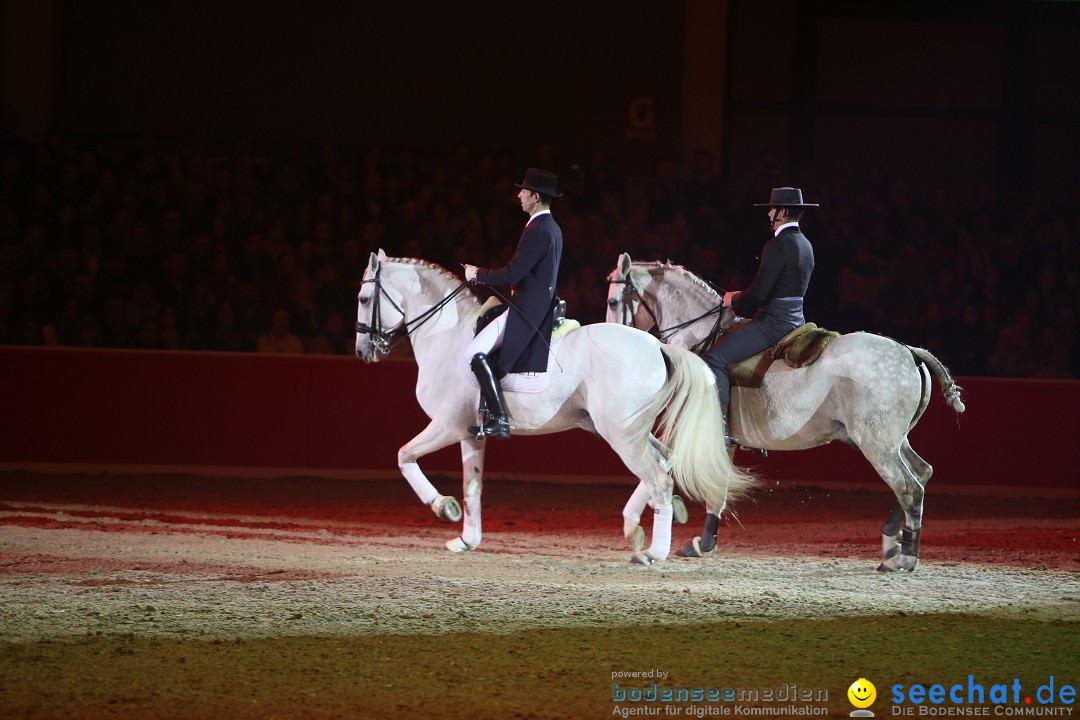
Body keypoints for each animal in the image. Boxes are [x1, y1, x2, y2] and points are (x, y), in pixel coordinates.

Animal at [354, 252, 751, 561]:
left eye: (363, 298)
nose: (362, 351)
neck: (447, 334)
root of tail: (657, 346)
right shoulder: (470, 432)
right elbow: (473, 486)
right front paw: (467, 538)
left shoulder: (447, 425)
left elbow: (404, 456)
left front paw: (441, 506)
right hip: (627, 431)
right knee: (664, 460)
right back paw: (639, 527)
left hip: (621, 434)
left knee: (659, 478)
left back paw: (653, 552)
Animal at [604, 250, 967, 569]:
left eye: (612, 302)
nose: (614, 346)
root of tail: (909, 350)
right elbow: (711, 488)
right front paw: (701, 542)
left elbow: (669, 470)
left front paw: (648, 532)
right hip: (892, 440)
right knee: (922, 473)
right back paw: (894, 540)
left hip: (876, 444)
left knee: (909, 487)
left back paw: (905, 557)